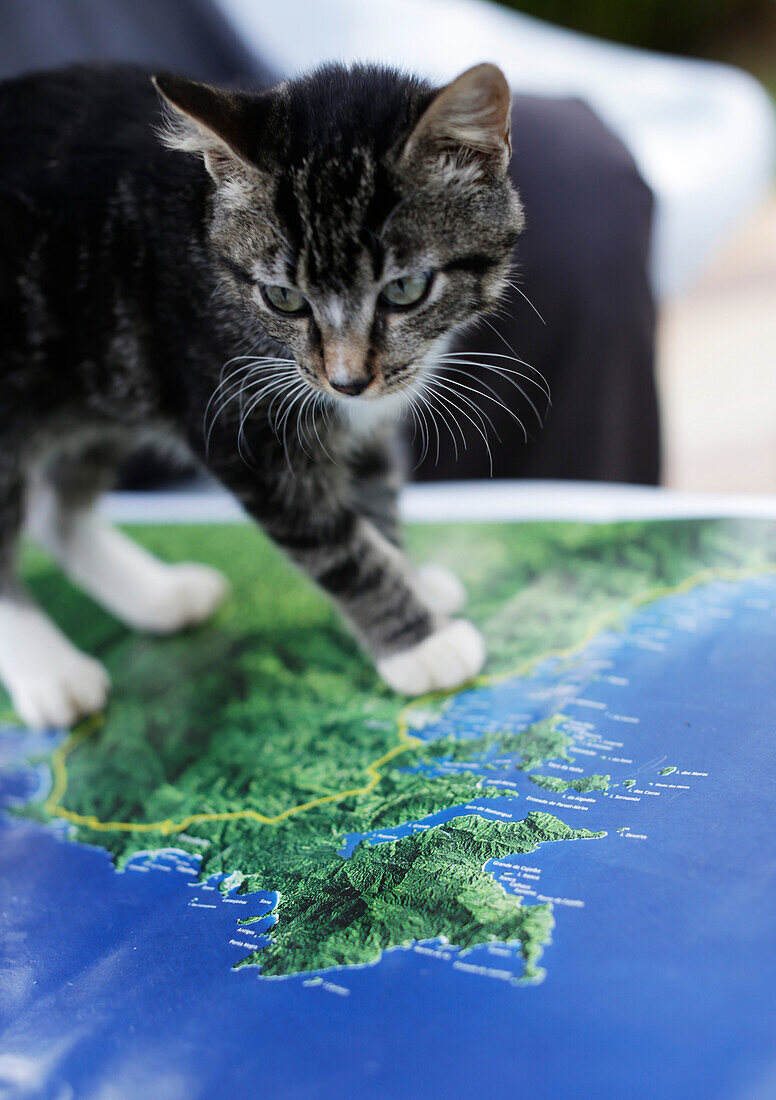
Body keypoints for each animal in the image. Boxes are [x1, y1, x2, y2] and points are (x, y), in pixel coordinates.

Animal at [0, 62, 523, 730]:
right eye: (284, 299)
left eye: (405, 289)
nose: (347, 380)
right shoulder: (235, 417)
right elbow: (332, 540)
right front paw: (419, 642)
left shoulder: (362, 420)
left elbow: (373, 496)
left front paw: (411, 576)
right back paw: (49, 671)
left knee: (55, 508)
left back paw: (158, 596)